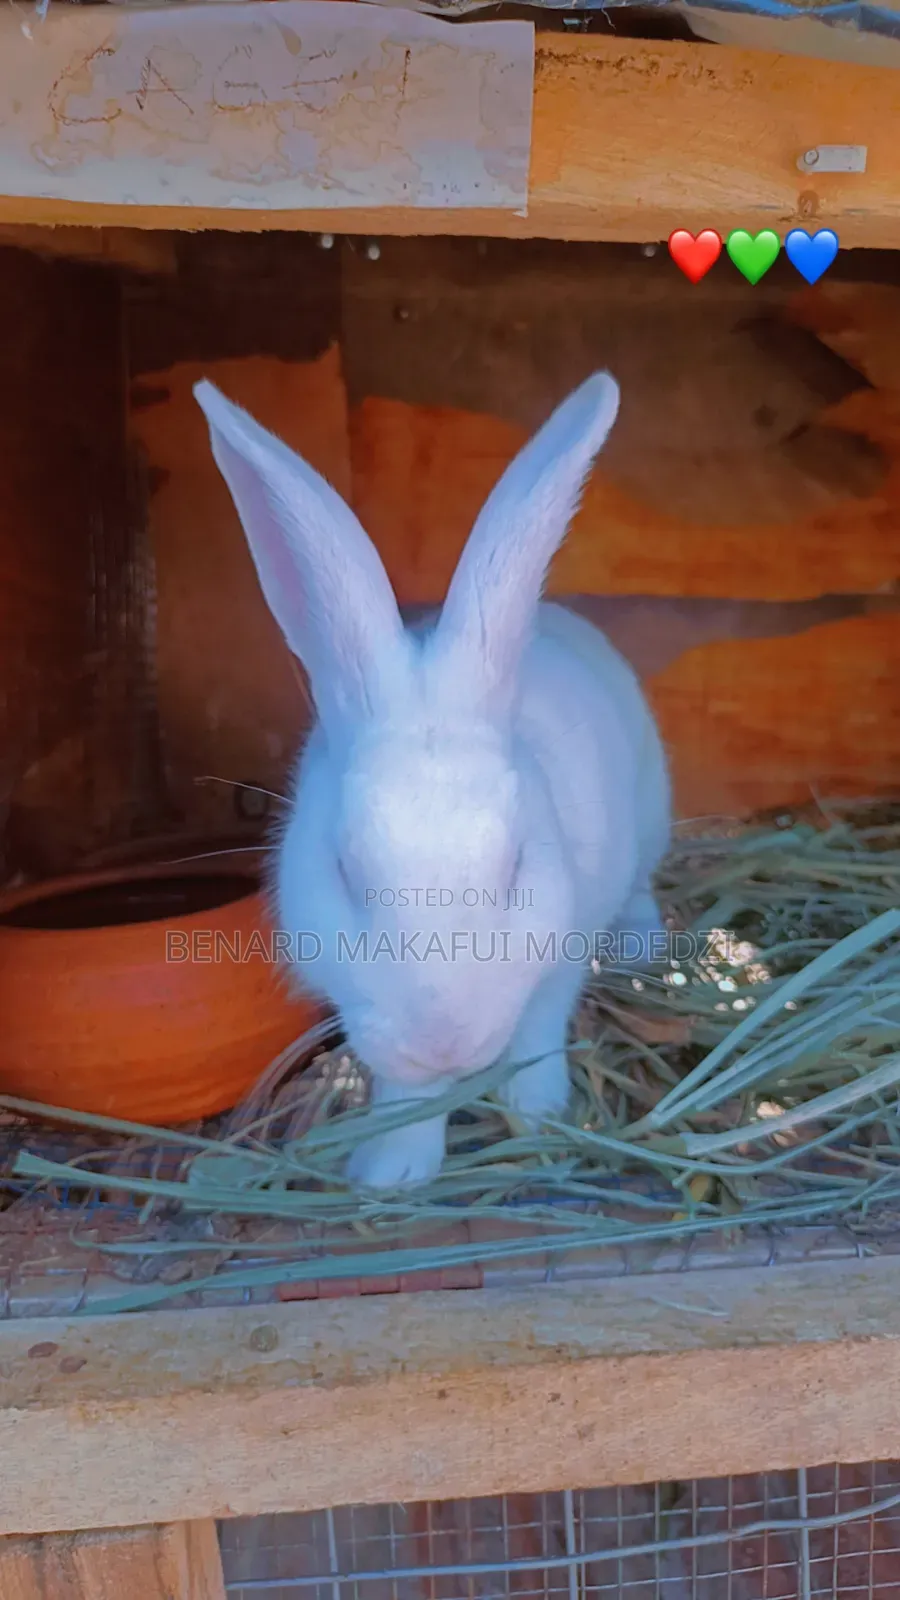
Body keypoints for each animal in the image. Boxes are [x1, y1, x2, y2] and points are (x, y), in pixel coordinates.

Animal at [194, 372, 671, 1190]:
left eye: (515, 866)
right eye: (345, 871)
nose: (443, 1039)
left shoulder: (557, 950)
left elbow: (537, 1032)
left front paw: (539, 1117)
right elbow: (404, 1093)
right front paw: (390, 1172)